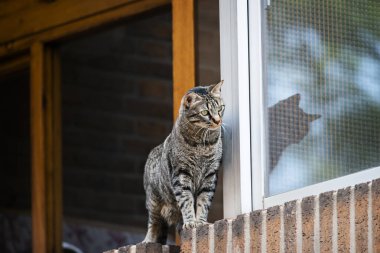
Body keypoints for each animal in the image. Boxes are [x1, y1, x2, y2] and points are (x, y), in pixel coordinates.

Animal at [143, 80, 226, 243]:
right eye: (205, 113)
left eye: (220, 108)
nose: (218, 121)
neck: (202, 144)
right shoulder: (181, 174)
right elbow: (186, 200)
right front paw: (190, 222)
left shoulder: (210, 175)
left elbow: (203, 201)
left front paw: (200, 222)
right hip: (153, 200)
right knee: (154, 223)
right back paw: (148, 240)